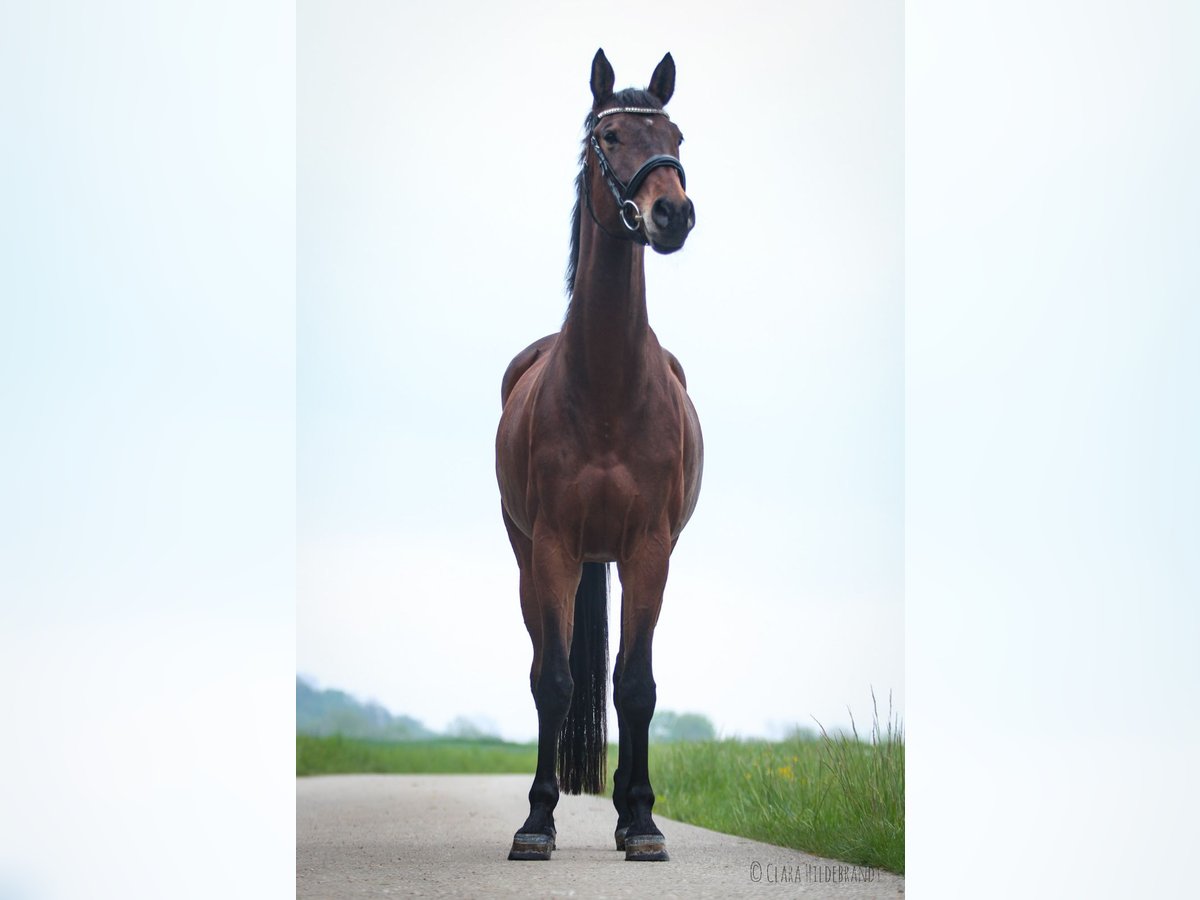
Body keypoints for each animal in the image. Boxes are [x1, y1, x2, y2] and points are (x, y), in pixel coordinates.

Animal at [494, 51, 700, 868]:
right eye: (610, 135)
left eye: (675, 134)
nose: (673, 213)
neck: (608, 384)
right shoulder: (552, 548)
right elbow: (554, 682)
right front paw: (536, 821)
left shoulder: (649, 549)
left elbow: (635, 685)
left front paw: (641, 820)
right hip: (532, 559)